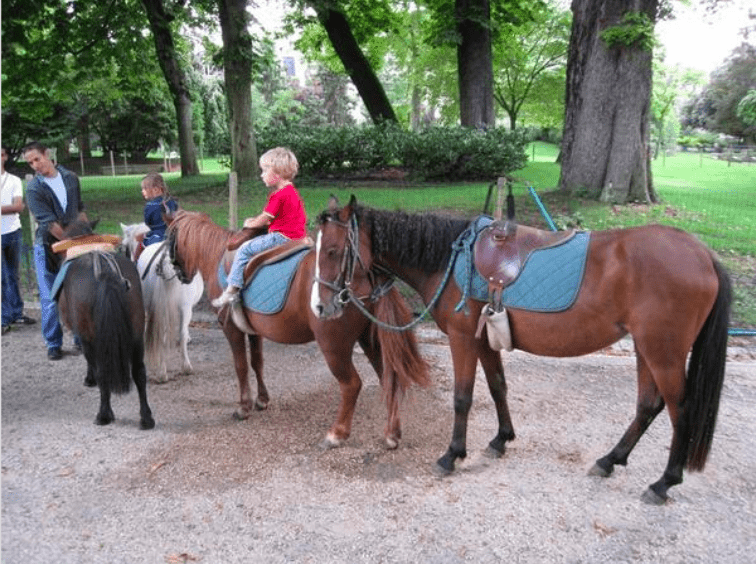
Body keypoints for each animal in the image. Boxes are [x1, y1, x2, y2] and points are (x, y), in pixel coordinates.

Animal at [55, 220, 154, 428]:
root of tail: (105, 273)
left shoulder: (85, 336)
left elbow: (91, 363)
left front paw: (89, 379)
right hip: (136, 332)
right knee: (139, 372)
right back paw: (146, 417)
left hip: (92, 335)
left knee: (102, 373)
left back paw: (103, 414)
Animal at [165, 209, 426, 448]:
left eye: (168, 241)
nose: (178, 274)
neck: (218, 255)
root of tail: (367, 273)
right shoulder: (254, 331)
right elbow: (257, 362)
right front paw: (262, 400)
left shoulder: (231, 328)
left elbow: (241, 366)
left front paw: (243, 407)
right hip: (369, 339)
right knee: (388, 378)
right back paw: (392, 434)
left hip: (334, 346)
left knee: (352, 384)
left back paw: (337, 433)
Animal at [314, 196, 732, 504]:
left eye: (333, 251)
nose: (321, 306)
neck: (451, 260)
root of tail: (704, 255)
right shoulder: (484, 339)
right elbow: (498, 386)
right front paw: (501, 439)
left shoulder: (463, 338)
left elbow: (463, 397)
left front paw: (452, 454)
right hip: (648, 351)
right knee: (648, 406)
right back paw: (610, 460)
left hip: (664, 353)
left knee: (681, 412)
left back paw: (664, 482)